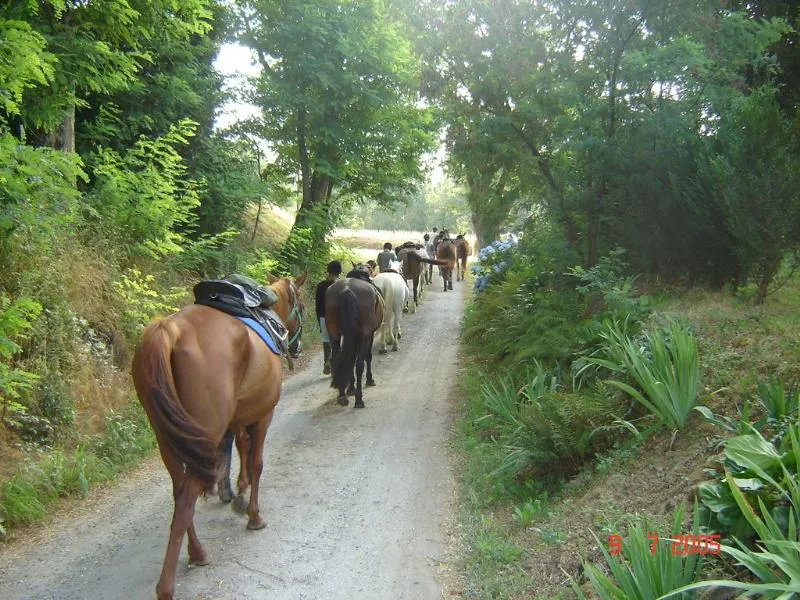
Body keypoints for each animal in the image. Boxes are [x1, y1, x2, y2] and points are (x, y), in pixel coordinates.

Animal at [131, 274, 306, 600]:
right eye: (301, 304)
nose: (297, 347)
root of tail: (169, 330)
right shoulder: (263, 414)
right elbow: (256, 460)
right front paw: (253, 514)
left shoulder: (236, 419)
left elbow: (239, 448)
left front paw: (237, 489)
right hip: (202, 434)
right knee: (186, 496)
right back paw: (167, 584)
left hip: (168, 439)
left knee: (179, 491)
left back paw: (197, 551)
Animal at [326, 274, 386, 408]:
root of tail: (347, 290)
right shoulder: (369, 334)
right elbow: (367, 357)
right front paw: (369, 380)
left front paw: (350, 389)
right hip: (364, 335)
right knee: (359, 364)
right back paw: (359, 399)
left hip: (334, 333)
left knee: (337, 359)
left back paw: (342, 395)